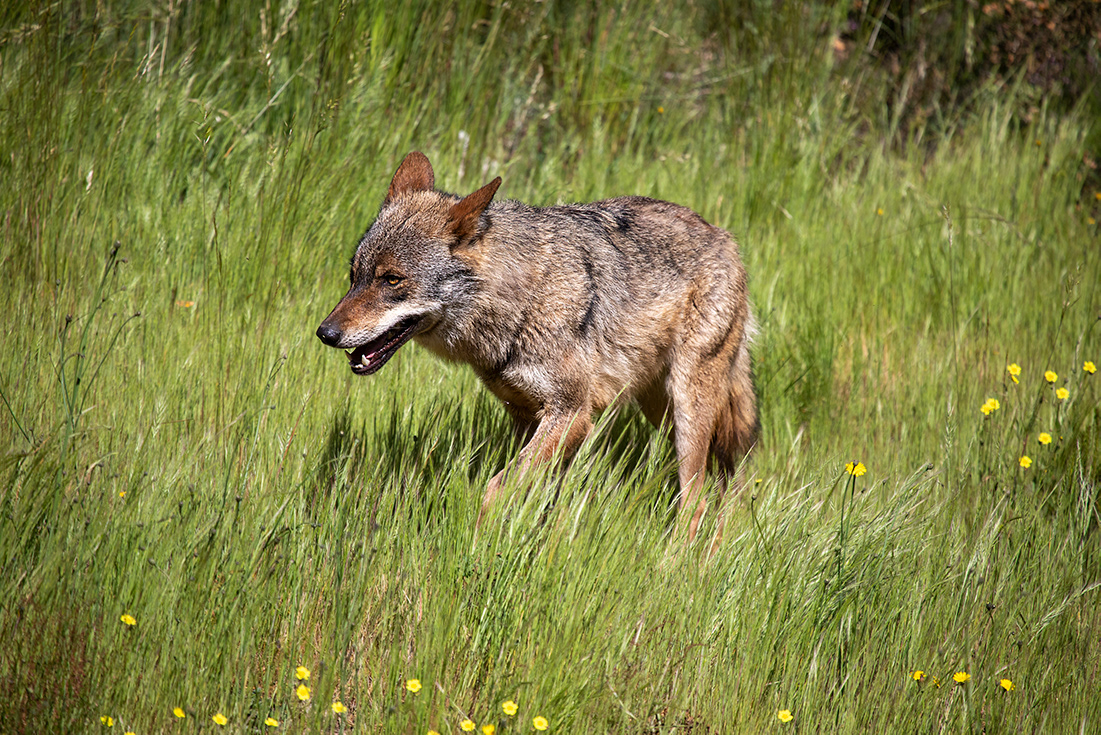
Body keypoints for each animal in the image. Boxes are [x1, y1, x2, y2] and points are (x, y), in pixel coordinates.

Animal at [317, 152, 758, 540]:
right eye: (354, 276)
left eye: (391, 279)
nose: (325, 333)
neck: (523, 300)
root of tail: (725, 237)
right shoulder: (526, 417)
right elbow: (539, 501)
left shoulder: (572, 415)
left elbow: (495, 489)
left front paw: (477, 554)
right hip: (659, 410)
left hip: (686, 409)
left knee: (696, 501)